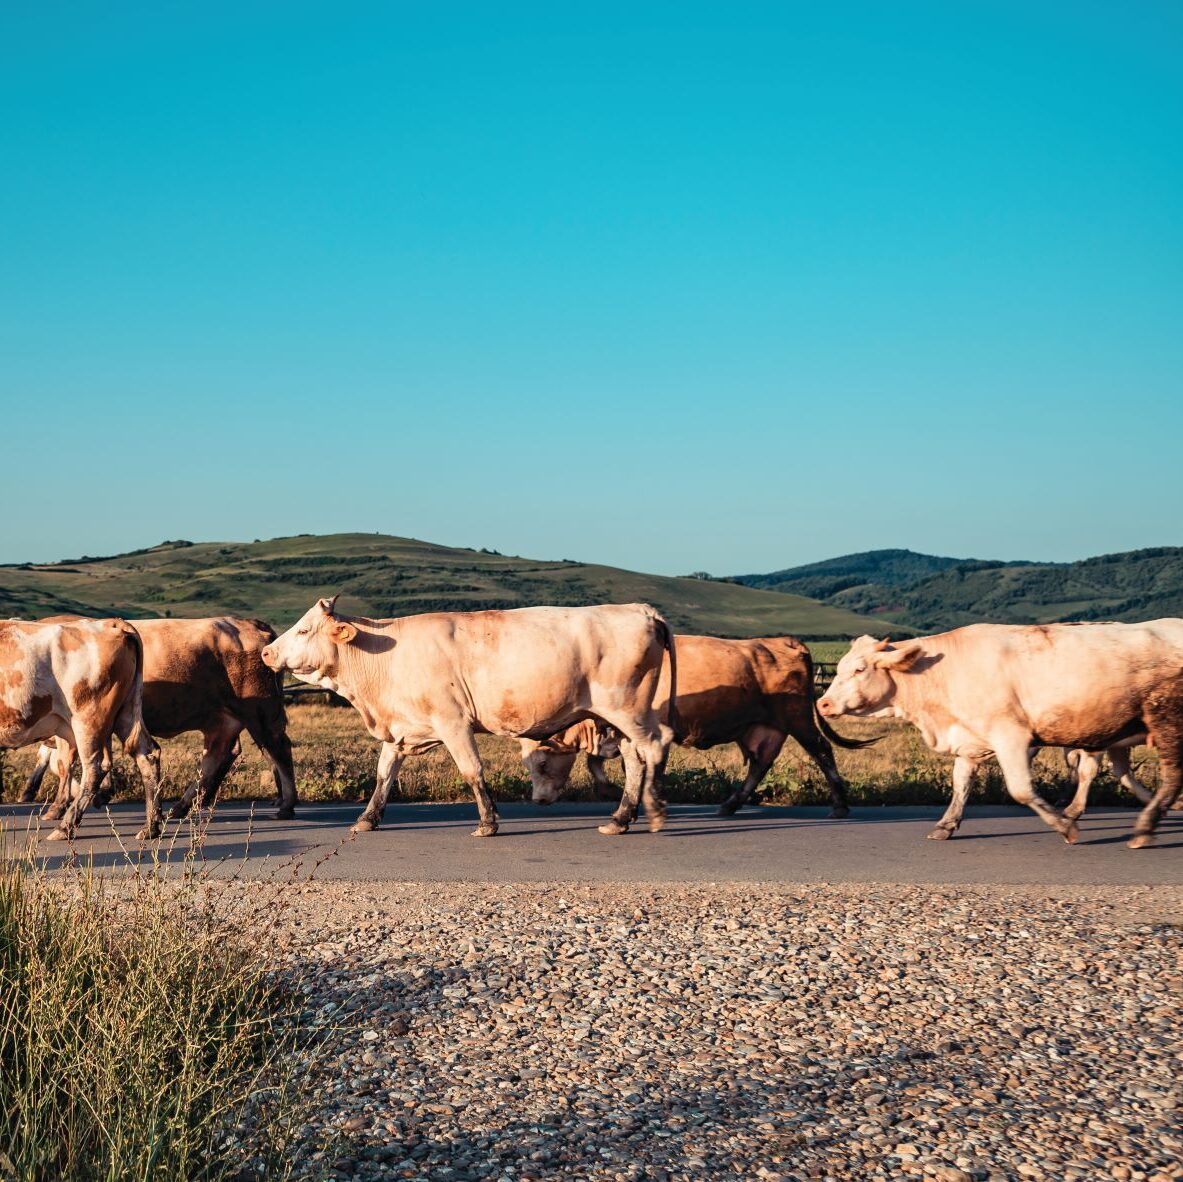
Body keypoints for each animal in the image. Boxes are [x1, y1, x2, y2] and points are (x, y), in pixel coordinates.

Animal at [0, 619, 162, 842]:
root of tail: (111, 623)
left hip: (87, 718)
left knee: (95, 767)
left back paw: (65, 826)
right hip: (126, 711)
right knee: (147, 755)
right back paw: (151, 827)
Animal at [21, 619, 298, 823]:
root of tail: (251, 624)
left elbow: (62, 763)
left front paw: (62, 804)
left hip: (259, 710)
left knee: (278, 749)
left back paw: (286, 805)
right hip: (225, 717)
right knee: (221, 755)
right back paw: (186, 805)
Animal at [264, 596, 681, 837]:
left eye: (303, 630)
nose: (267, 652)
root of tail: (640, 610)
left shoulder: (453, 722)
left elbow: (472, 771)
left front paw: (487, 822)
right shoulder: (400, 729)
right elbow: (384, 775)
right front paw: (367, 818)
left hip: (626, 707)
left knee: (654, 747)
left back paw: (655, 810)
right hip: (620, 716)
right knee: (635, 759)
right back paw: (621, 818)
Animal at [520, 634, 870, 818]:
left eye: (542, 762)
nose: (537, 801)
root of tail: (784, 641)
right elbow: (598, 763)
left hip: (797, 718)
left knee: (822, 751)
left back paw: (840, 805)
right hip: (763, 727)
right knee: (761, 763)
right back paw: (730, 804)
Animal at [818, 624, 1183, 847]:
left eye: (860, 669)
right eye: (840, 667)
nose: (822, 703)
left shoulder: (1010, 736)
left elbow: (1021, 790)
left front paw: (1065, 826)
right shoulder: (969, 740)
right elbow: (961, 784)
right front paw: (946, 824)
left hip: (1165, 723)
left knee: (1167, 775)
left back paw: (1145, 824)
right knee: (1127, 774)